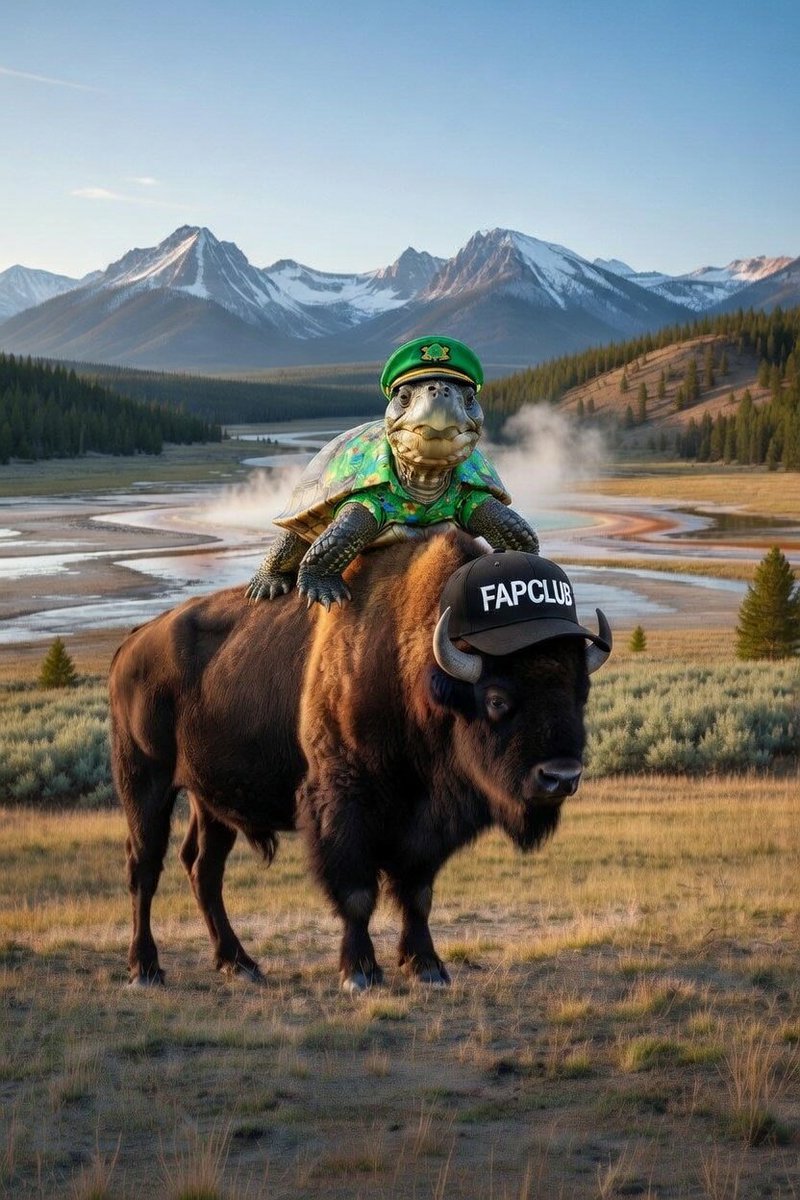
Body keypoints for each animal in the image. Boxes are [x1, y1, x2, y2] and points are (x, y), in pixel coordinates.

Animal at [109, 532, 610, 991]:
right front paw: (360, 973)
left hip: (210, 801)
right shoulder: (344, 806)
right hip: (145, 782)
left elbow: (418, 894)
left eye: (580, 692)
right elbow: (356, 893)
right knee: (144, 868)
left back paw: (240, 964)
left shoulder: (425, 826)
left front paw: (427, 967)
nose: (560, 777)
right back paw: (146, 970)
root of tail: (131, 644)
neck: (416, 673)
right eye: (496, 699)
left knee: (204, 869)